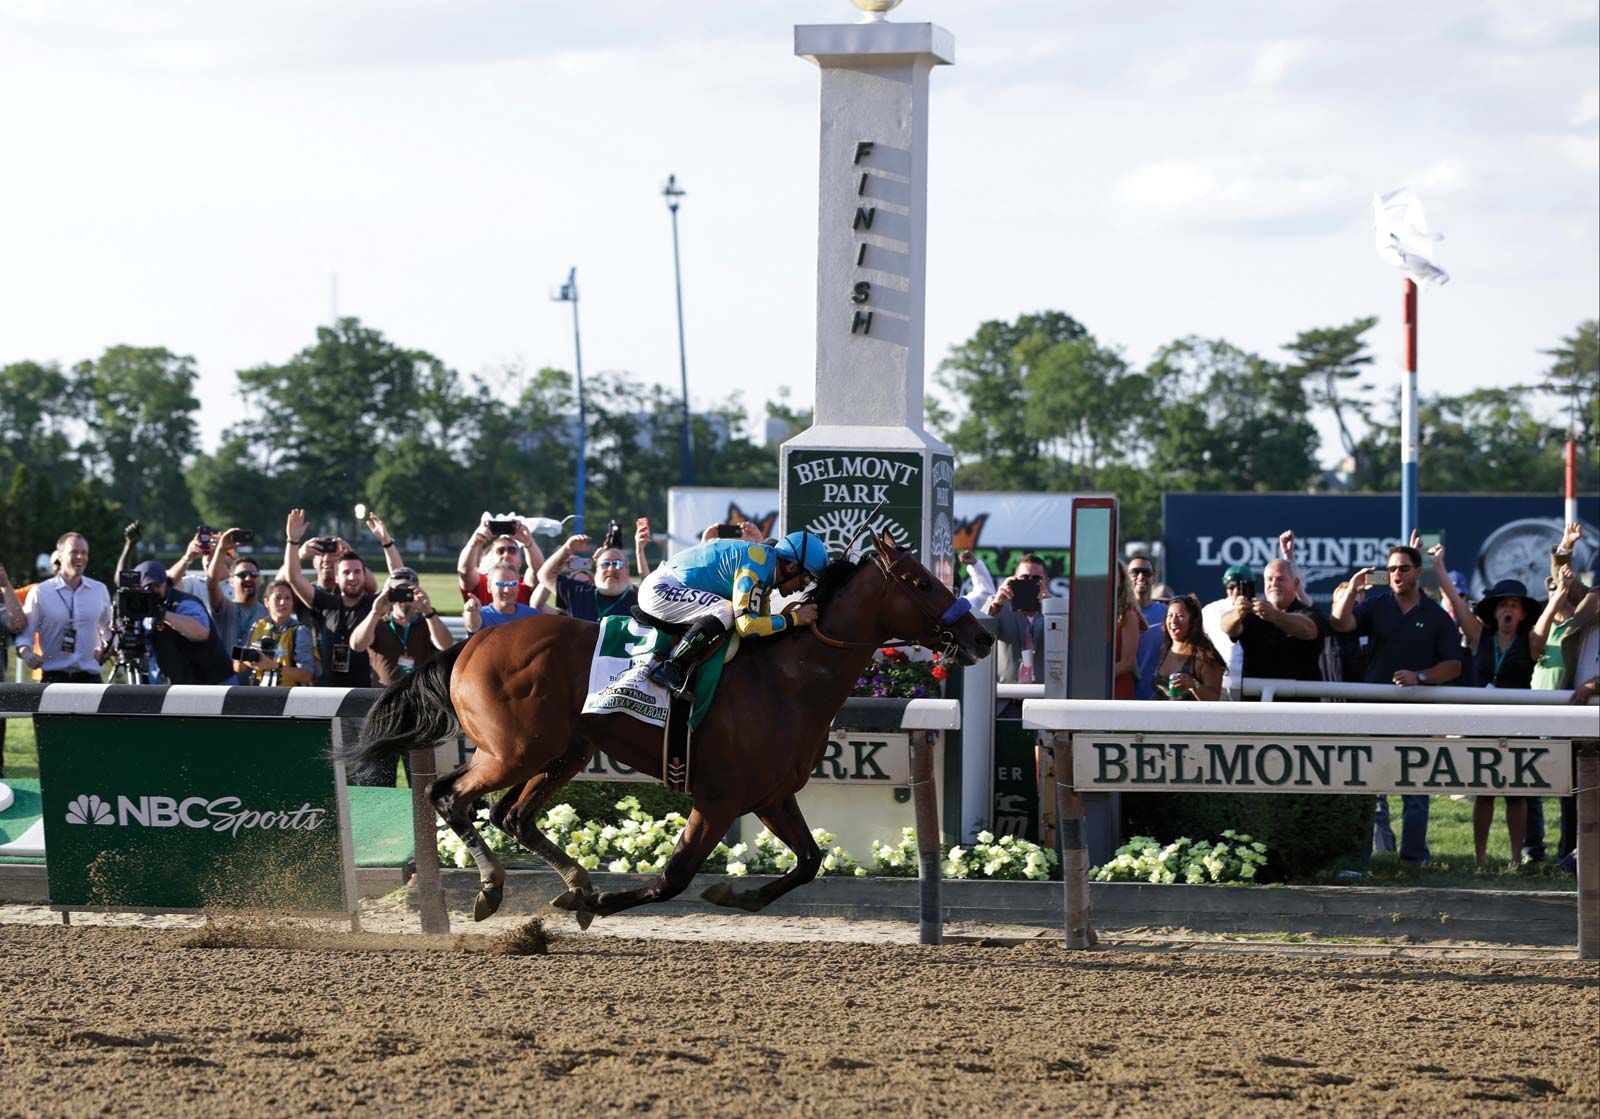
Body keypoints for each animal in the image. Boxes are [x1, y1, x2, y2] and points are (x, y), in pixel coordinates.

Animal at [340, 534, 985, 928]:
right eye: (921, 583)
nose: (980, 637)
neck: (786, 679)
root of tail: (470, 643)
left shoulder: (772, 795)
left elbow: (809, 860)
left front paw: (735, 894)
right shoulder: (719, 798)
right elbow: (675, 877)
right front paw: (606, 900)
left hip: (563, 750)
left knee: (510, 815)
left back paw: (571, 883)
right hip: (514, 750)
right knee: (448, 794)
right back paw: (496, 889)